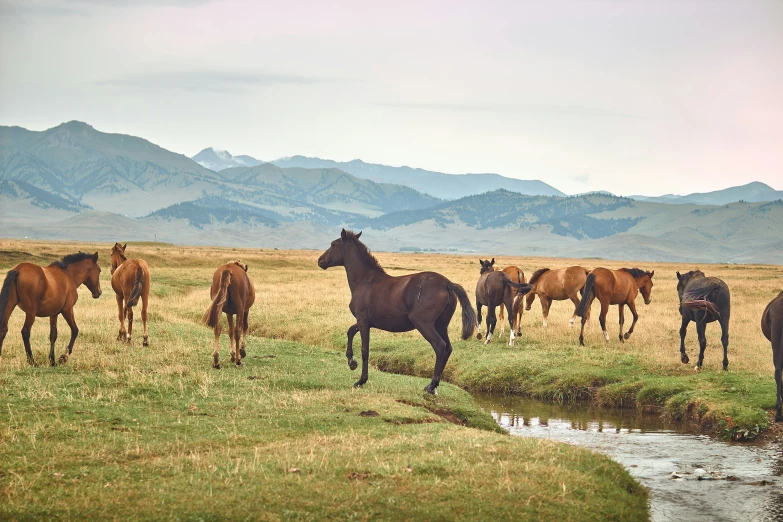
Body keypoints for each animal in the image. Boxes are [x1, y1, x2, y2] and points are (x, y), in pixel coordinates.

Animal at [320, 230, 478, 392]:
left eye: (333, 244)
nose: (320, 261)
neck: (365, 281)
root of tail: (447, 284)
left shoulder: (363, 320)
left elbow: (365, 350)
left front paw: (361, 380)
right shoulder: (365, 321)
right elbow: (350, 331)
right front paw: (351, 362)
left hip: (423, 324)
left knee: (440, 347)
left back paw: (431, 385)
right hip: (441, 325)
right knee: (448, 348)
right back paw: (434, 386)